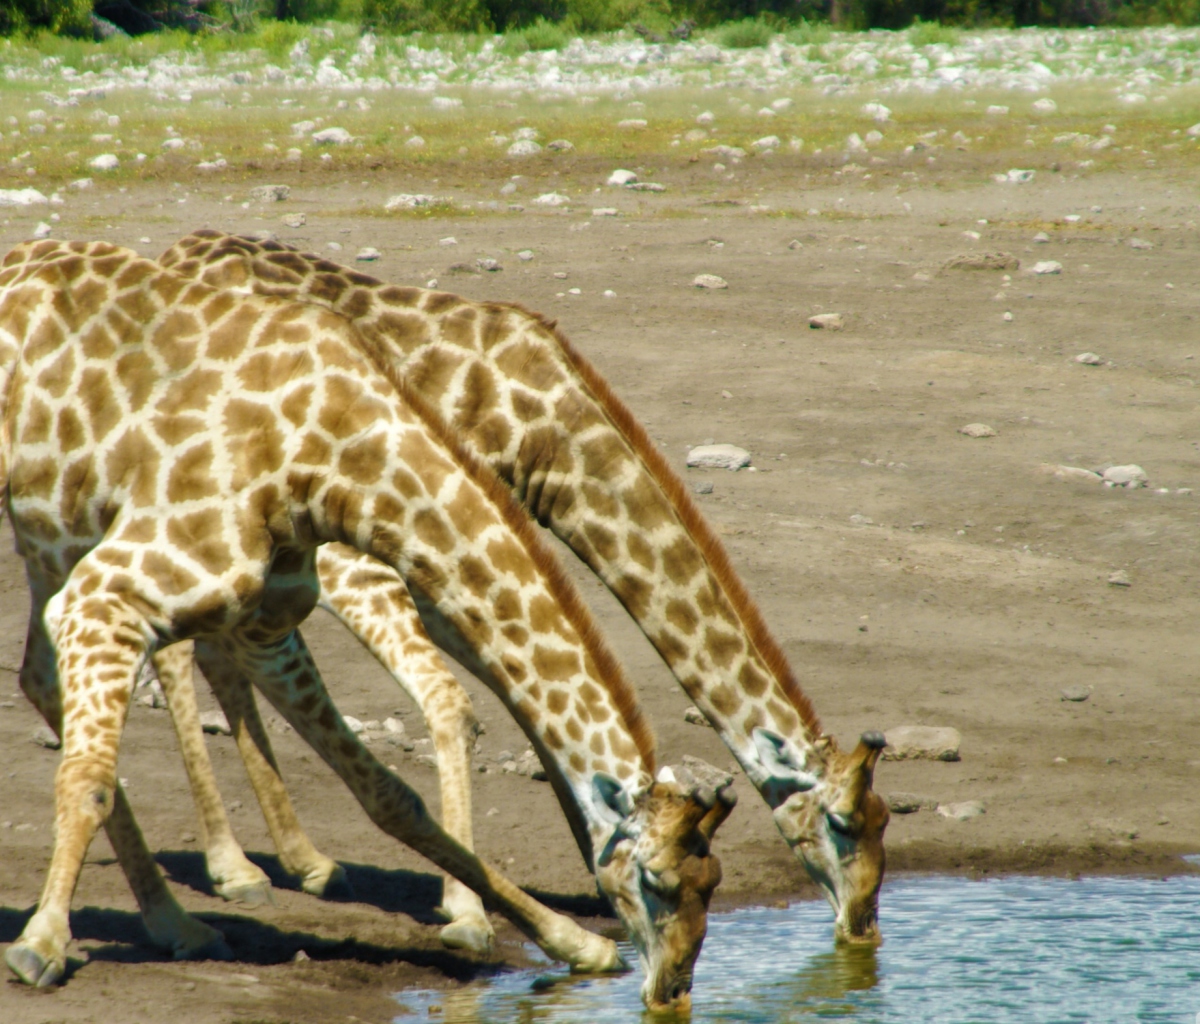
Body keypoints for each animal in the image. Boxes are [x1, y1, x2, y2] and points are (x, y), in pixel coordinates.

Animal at [0, 237, 720, 1008]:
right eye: (658, 881)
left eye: (714, 883)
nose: (674, 988)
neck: (340, 458)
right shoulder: (109, 594)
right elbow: (91, 779)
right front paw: (42, 943)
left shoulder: (262, 622)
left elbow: (391, 796)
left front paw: (570, 942)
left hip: (52, 535)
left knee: (38, 674)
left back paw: (180, 924)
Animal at [154, 231, 892, 941]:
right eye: (844, 824)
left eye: (885, 821)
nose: (862, 926)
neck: (548, 437)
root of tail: (174, 252)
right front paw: (469, 908)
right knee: (179, 647)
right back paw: (234, 868)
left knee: (213, 647)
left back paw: (300, 860)